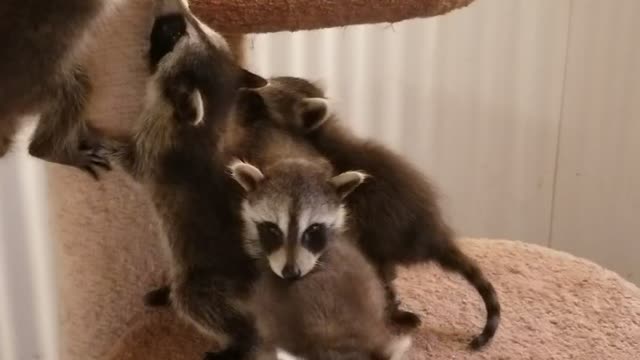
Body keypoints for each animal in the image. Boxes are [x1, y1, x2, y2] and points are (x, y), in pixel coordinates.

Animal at [104, 1, 268, 358]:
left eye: (175, 34)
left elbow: (131, 165)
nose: (178, 6)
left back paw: (239, 340)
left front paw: (100, 143)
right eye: (198, 26)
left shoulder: (155, 155)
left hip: (203, 282)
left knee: (205, 306)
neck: (204, 124)